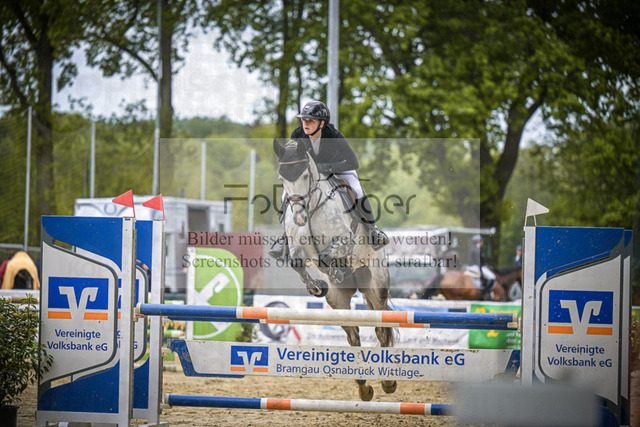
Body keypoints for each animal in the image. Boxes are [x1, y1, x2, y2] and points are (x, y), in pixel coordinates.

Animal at [273, 139, 396, 401]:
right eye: (282, 179)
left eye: (306, 175)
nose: (299, 218)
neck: (311, 207)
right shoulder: (298, 248)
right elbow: (298, 262)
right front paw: (318, 286)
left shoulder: (344, 241)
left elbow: (327, 256)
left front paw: (335, 272)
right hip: (338, 300)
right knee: (353, 334)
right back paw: (364, 387)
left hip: (376, 284)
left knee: (382, 329)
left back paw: (388, 382)